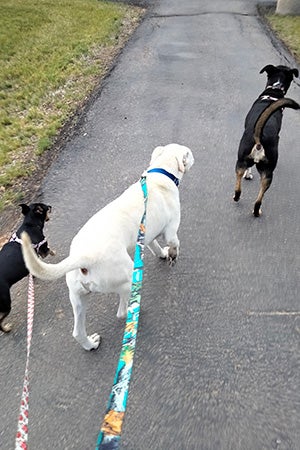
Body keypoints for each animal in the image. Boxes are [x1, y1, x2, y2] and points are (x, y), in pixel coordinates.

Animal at [0, 202, 53, 332]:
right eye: (46, 207)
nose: (51, 206)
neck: (30, 225)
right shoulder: (43, 249)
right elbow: (50, 250)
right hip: (6, 304)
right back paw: (6, 329)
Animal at [21, 144, 195, 352]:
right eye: (187, 153)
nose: (193, 155)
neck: (160, 173)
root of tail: (82, 256)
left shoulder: (147, 233)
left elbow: (154, 245)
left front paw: (161, 254)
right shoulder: (171, 229)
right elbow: (174, 243)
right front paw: (172, 255)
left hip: (78, 298)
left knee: (77, 332)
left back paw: (90, 344)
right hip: (127, 279)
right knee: (122, 312)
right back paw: (134, 311)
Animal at [234, 64, 300, 217]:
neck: (274, 91)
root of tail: (261, 135)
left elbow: (248, 168)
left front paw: (248, 175)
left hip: (242, 162)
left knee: (239, 183)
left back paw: (238, 198)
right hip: (267, 173)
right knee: (259, 197)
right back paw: (255, 210)